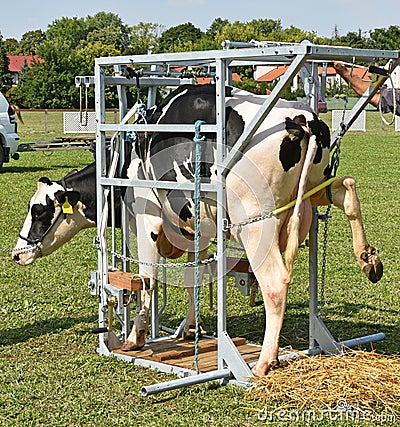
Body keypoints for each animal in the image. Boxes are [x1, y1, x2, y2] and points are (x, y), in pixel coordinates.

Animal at [11, 84, 382, 378]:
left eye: (38, 209)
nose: (17, 253)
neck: (120, 168)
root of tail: (302, 119)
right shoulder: (194, 225)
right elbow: (195, 277)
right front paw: (189, 330)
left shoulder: (147, 221)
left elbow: (147, 279)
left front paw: (134, 337)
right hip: (314, 189)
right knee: (347, 190)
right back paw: (369, 260)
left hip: (256, 220)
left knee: (275, 281)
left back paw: (264, 361)